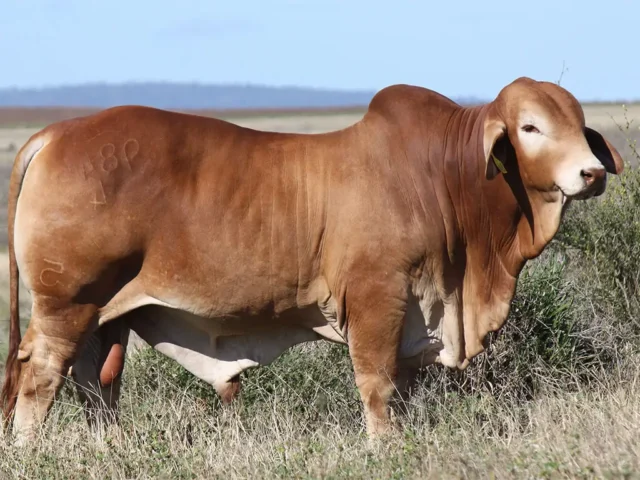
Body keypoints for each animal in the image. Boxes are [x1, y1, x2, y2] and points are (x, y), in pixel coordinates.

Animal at [1, 77, 624, 443]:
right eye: (530, 127)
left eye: (578, 125)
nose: (591, 173)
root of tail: (59, 132)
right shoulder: (377, 301)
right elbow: (378, 389)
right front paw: (384, 451)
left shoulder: (415, 316)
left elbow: (402, 393)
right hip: (67, 304)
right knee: (40, 377)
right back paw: (31, 452)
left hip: (106, 316)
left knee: (95, 384)